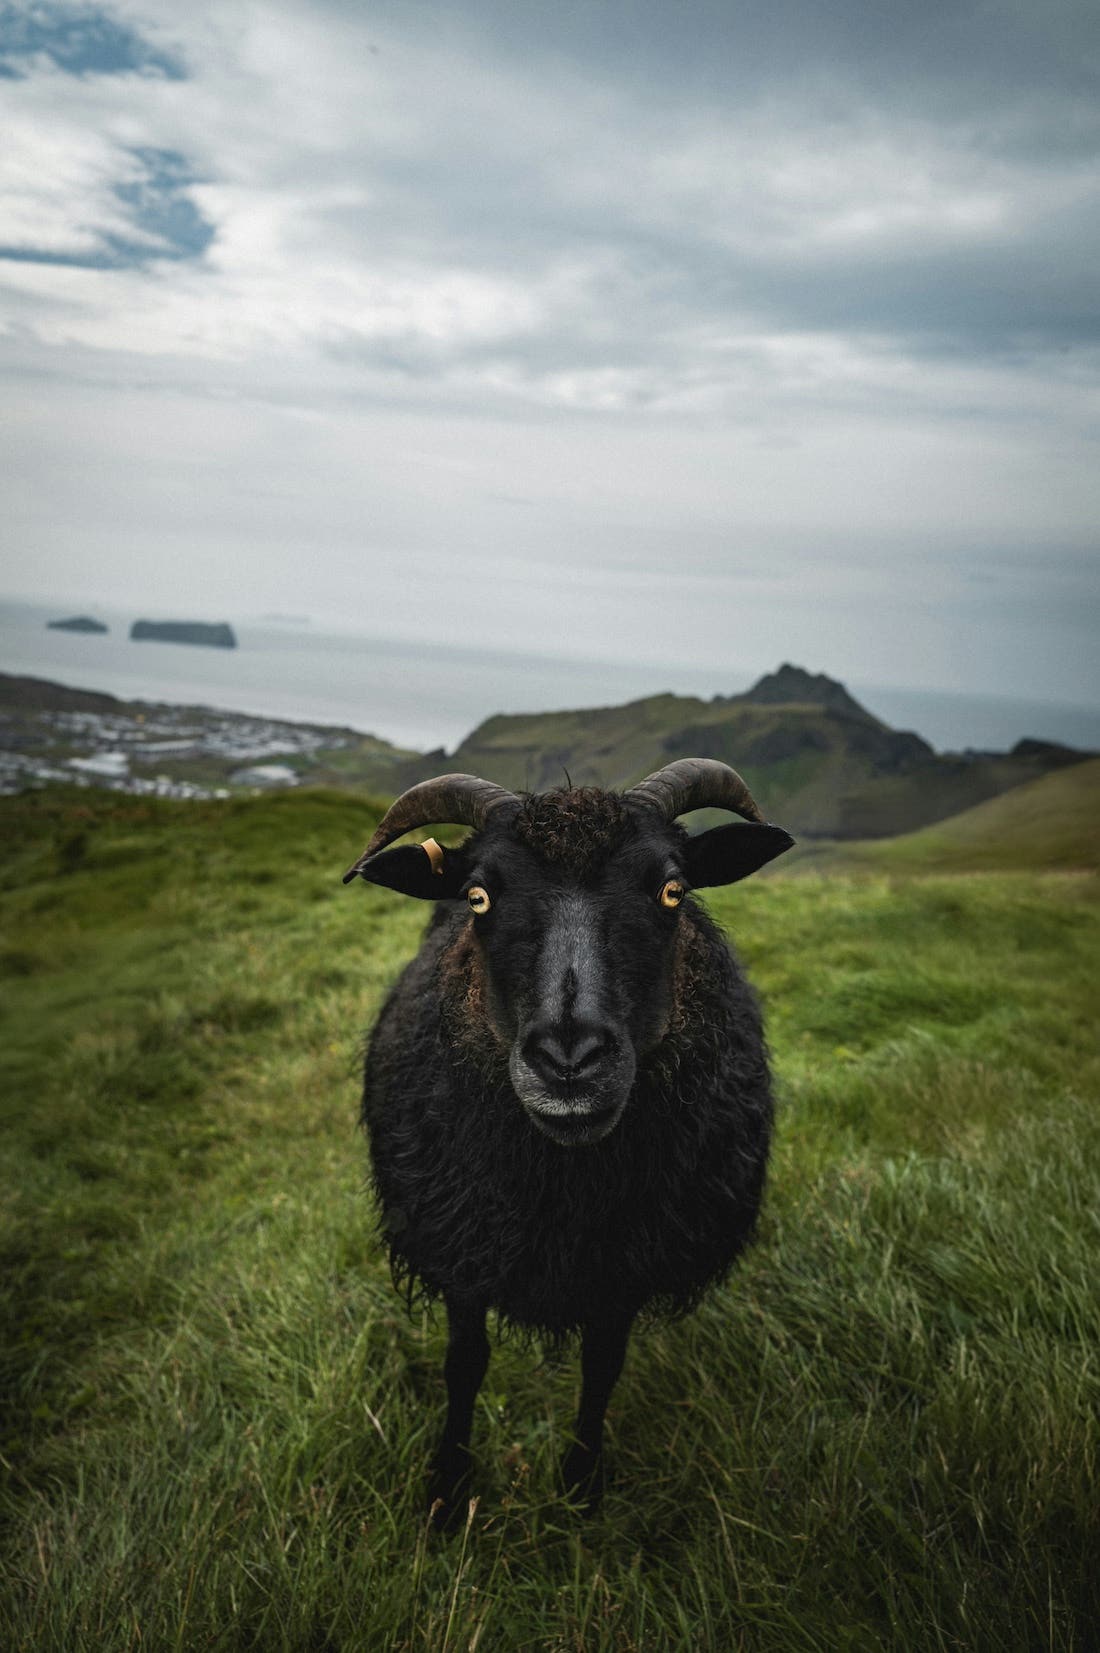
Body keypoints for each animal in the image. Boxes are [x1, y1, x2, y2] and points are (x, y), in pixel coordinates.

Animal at [340, 760, 790, 1520]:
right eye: (479, 896)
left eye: (672, 890)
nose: (570, 1060)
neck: (567, 1188)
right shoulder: (464, 1249)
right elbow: (465, 1365)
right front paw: (449, 1488)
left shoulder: (622, 1270)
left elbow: (601, 1369)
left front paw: (581, 1485)